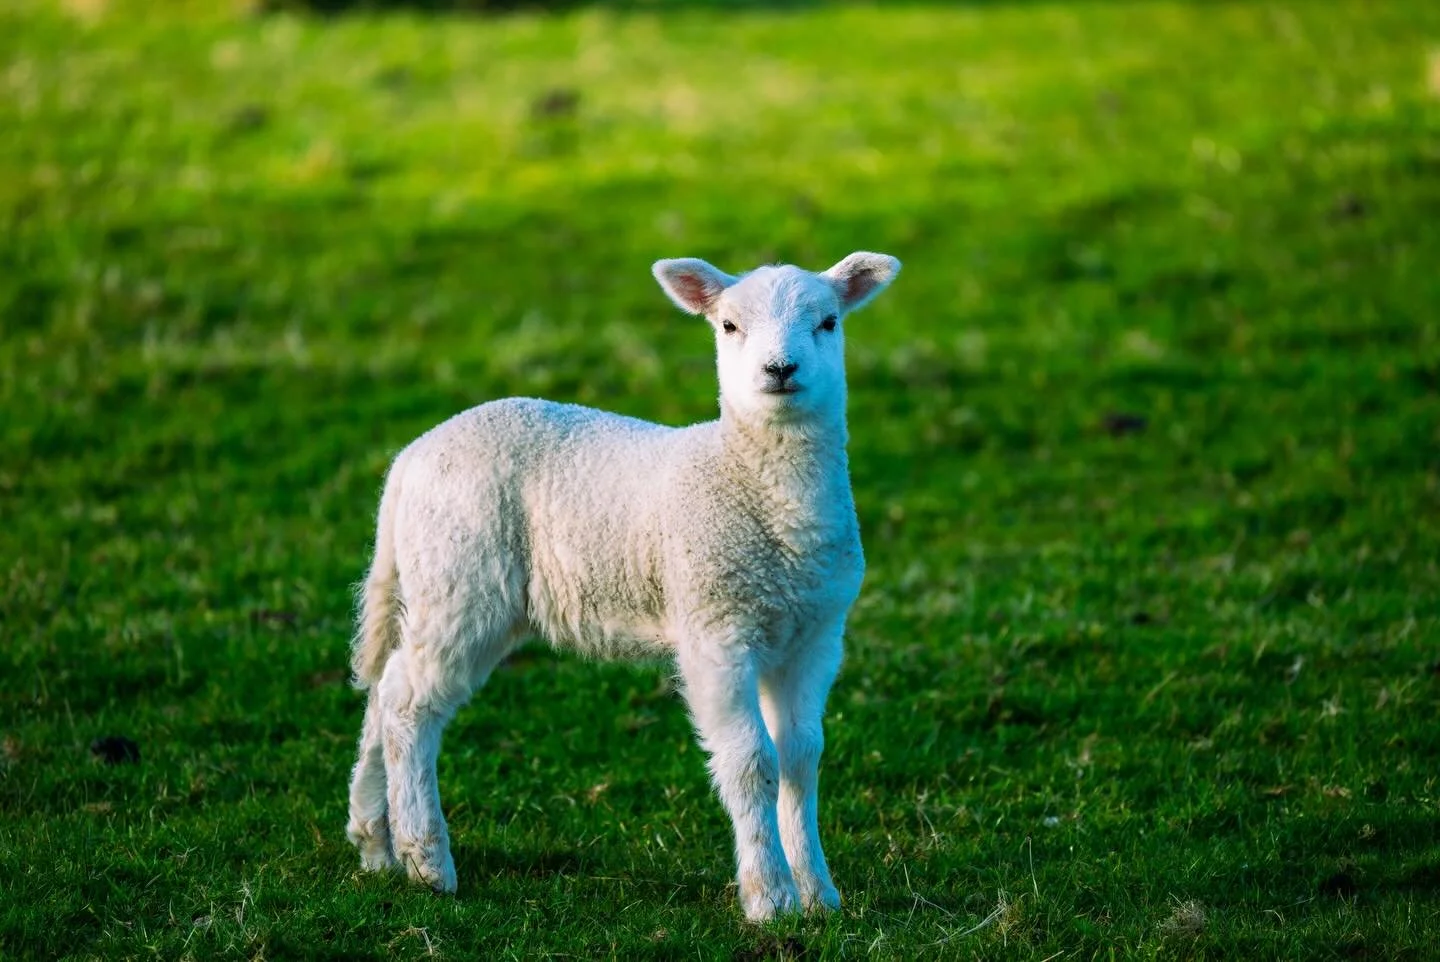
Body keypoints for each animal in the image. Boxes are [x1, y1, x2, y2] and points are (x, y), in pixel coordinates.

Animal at [344, 251, 901, 921]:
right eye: (728, 327)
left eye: (828, 322)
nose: (780, 369)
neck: (760, 489)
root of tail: (408, 462)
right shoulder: (715, 628)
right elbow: (751, 761)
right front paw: (769, 896)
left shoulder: (814, 636)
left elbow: (801, 756)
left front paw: (818, 893)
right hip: (461, 579)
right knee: (407, 703)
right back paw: (426, 860)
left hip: (440, 584)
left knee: (383, 689)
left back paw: (374, 843)